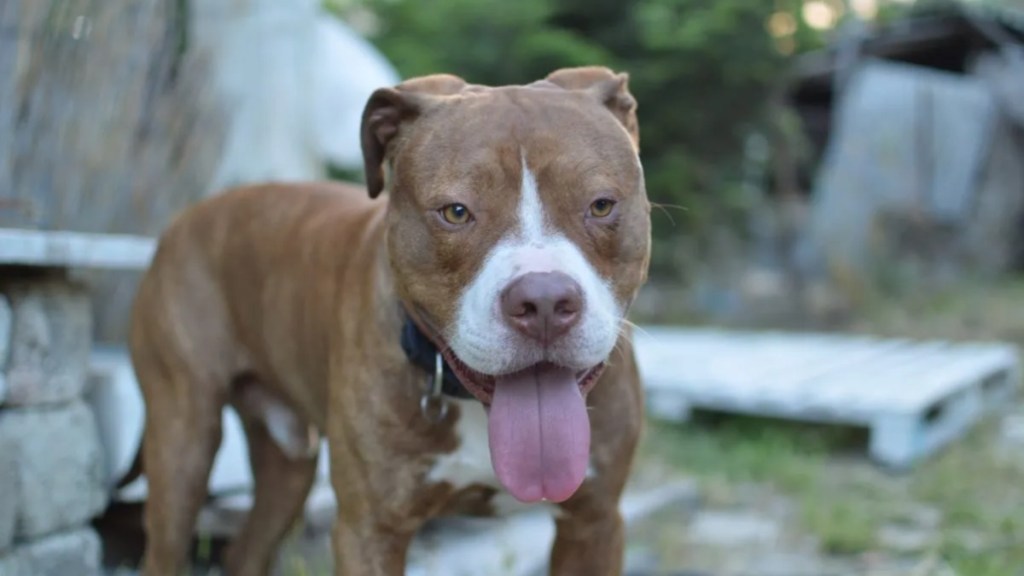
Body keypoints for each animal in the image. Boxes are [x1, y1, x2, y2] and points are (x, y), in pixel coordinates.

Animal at [128, 66, 651, 573]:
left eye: (601, 205)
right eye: (455, 212)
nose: (543, 302)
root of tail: (191, 214)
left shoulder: (595, 522)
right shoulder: (369, 531)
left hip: (288, 464)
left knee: (247, 548)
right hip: (183, 441)